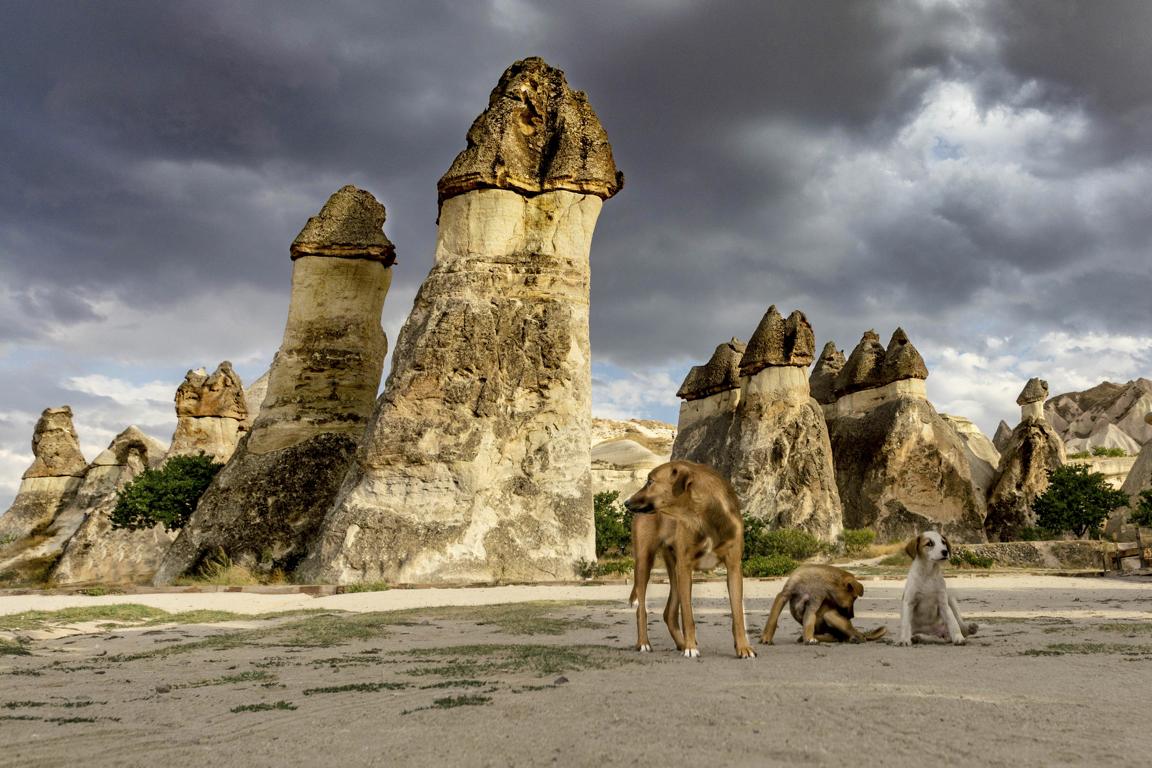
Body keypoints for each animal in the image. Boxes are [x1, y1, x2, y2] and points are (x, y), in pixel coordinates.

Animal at [622, 462, 755, 663]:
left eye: (650, 481)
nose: (626, 502)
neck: (705, 517)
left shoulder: (733, 567)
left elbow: (738, 614)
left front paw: (743, 648)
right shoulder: (685, 567)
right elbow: (688, 616)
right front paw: (691, 648)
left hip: (674, 571)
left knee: (668, 613)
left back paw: (680, 643)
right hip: (645, 562)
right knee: (642, 609)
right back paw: (644, 643)